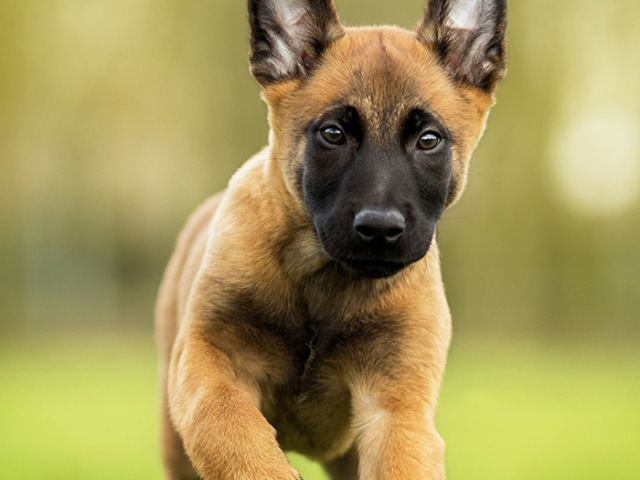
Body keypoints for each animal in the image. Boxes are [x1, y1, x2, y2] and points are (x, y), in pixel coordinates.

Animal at [155, 0, 504, 480]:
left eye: (429, 140)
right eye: (333, 134)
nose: (380, 228)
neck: (322, 282)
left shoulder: (395, 406)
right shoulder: (210, 363)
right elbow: (231, 433)